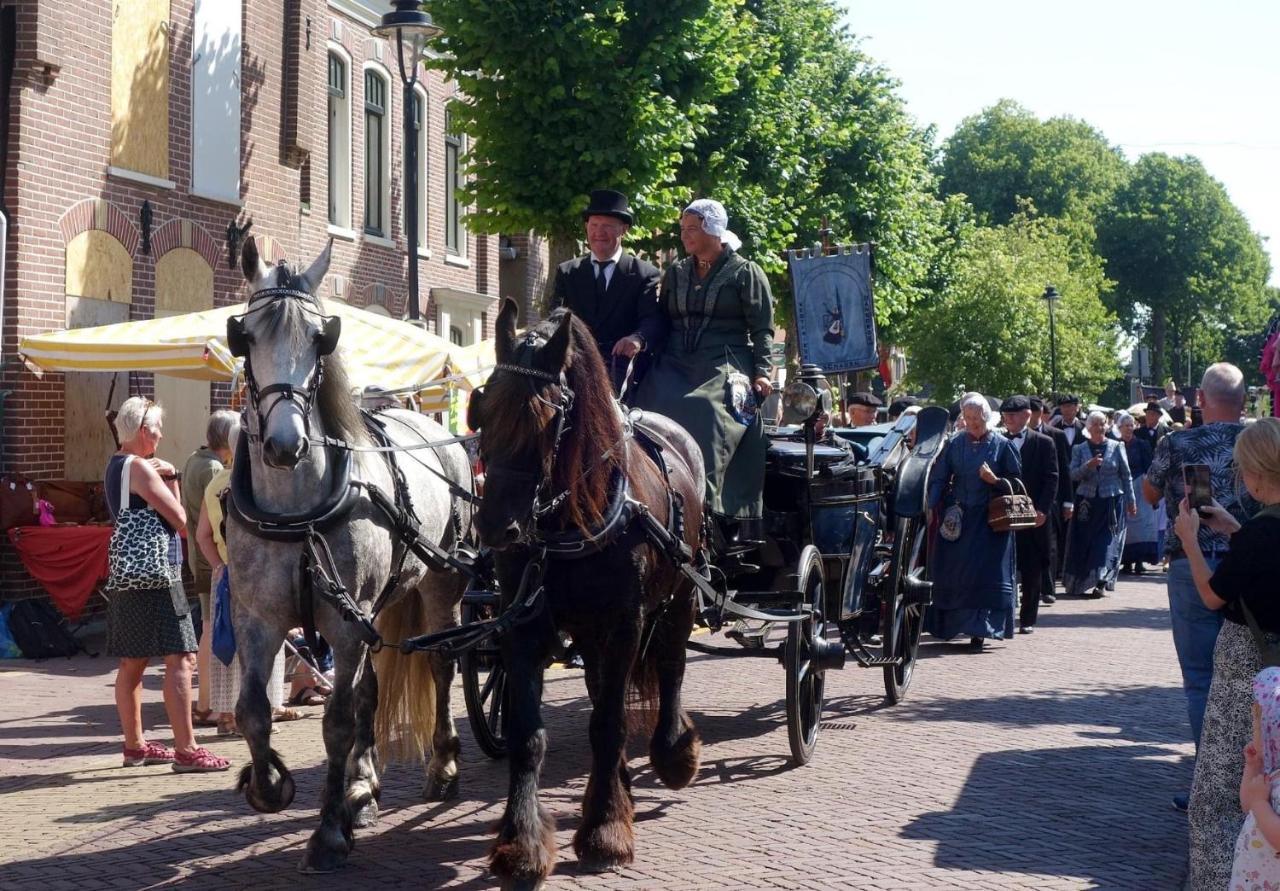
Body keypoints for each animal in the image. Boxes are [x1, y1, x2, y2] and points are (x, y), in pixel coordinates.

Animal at [226, 236, 476, 870]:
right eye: (245, 335)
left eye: (321, 338)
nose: (285, 444)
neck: (297, 511)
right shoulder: (257, 617)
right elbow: (252, 712)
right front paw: (269, 785)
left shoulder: (344, 623)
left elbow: (337, 723)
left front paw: (328, 833)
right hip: (380, 606)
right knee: (370, 688)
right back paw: (362, 789)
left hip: (439, 584)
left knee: (442, 665)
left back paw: (443, 765)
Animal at [468, 303, 711, 885]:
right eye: (482, 410)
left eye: (545, 419)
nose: (495, 527)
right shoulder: (523, 624)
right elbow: (529, 734)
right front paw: (521, 842)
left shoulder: (626, 620)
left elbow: (609, 722)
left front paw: (605, 831)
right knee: (604, 687)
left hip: (679, 600)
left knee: (669, 669)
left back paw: (673, 755)